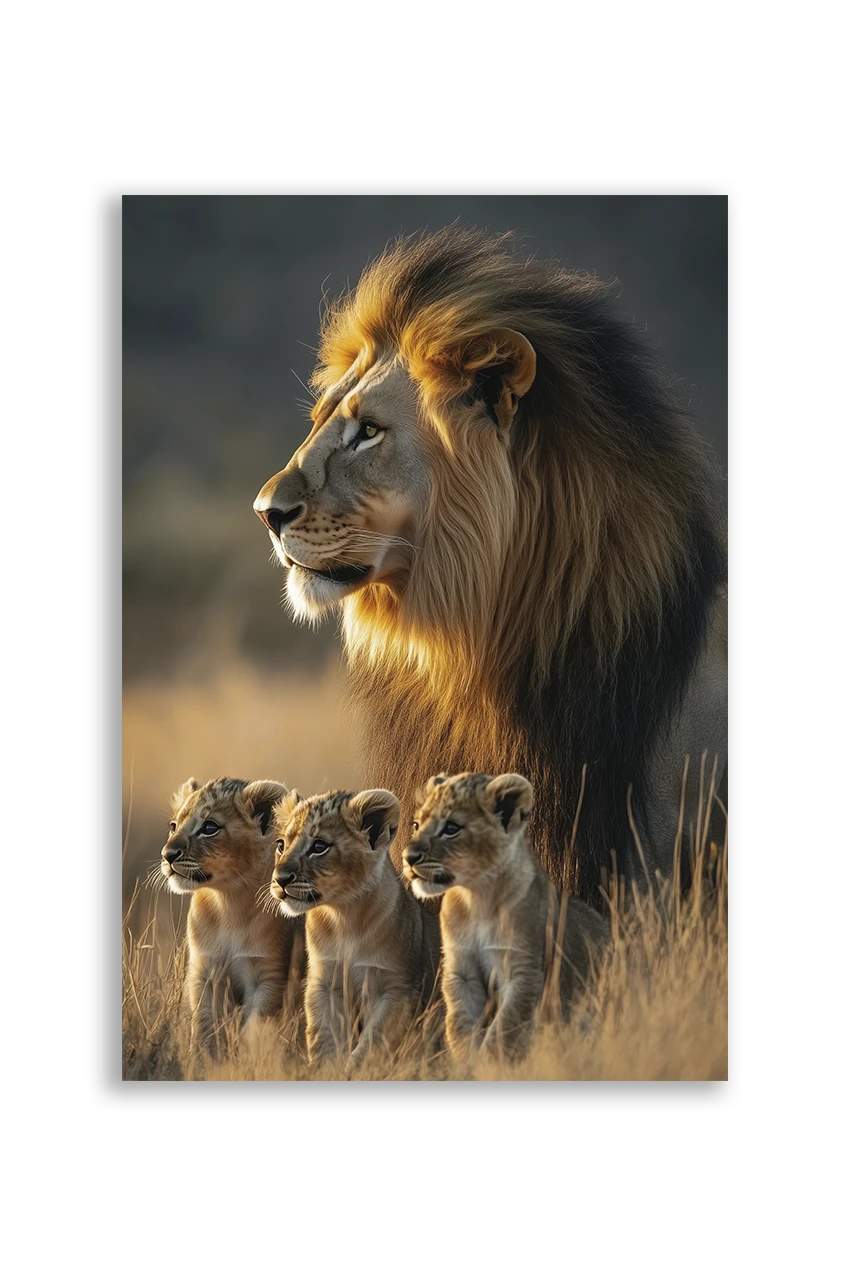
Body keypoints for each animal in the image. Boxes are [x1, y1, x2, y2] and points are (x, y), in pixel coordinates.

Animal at [160, 776, 306, 1053]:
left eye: (209, 827)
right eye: (173, 826)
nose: (167, 855)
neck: (228, 903)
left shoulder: (268, 976)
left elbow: (256, 1030)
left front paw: (249, 1060)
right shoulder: (206, 971)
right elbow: (204, 1027)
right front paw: (202, 1059)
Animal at [270, 787, 441, 1073]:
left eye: (319, 847)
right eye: (281, 845)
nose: (280, 879)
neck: (344, 916)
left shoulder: (398, 990)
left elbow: (372, 1045)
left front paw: (353, 1071)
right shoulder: (324, 983)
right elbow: (323, 1040)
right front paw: (325, 1074)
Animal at [403, 772, 608, 1060]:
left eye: (451, 828)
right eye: (416, 825)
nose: (408, 857)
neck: (477, 897)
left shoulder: (522, 972)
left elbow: (503, 1032)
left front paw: (489, 1063)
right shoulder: (461, 970)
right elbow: (460, 1027)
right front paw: (466, 1061)